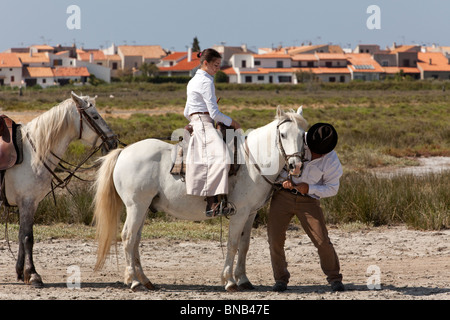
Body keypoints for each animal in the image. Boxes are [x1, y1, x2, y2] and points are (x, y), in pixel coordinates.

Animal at [1, 93, 117, 288]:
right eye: (94, 116)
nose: (113, 141)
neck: (34, 152)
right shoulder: (28, 202)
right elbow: (28, 238)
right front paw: (33, 274)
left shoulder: (27, 204)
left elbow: (21, 235)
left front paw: (20, 272)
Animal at [93, 106, 308, 292]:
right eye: (283, 134)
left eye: (303, 135)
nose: (295, 166)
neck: (251, 161)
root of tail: (124, 152)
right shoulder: (239, 212)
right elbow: (232, 244)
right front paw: (230, 281)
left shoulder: (250, 213)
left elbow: (244, 245)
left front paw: (244, 279)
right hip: (135, 206)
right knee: (128, 237)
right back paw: (134, 281)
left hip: (144, 208)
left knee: (136, 240)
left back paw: (145, 280)